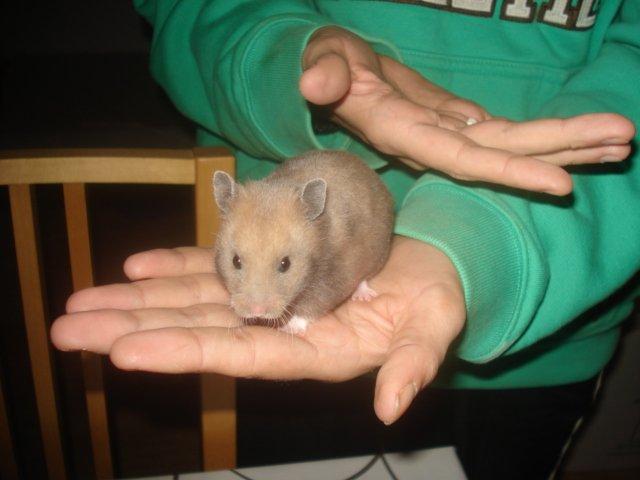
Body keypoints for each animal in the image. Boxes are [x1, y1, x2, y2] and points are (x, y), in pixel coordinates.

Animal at [213, 150, 394, 333]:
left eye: (286, 264)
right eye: (235, 261)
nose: (257, 311)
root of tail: (367, 169)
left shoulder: (333, 278)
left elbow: (312, 306)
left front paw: (290, 328)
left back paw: (362, 296)